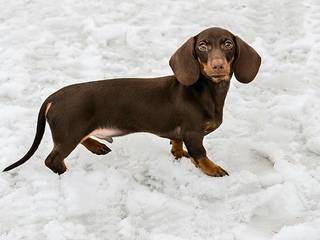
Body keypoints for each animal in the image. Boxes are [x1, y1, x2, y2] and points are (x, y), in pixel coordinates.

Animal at [3, 27, 262, 176]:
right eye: (202, 46)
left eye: (227, 43)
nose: (218, 66)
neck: (206, 91)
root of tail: (53, 97)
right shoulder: (193, 134)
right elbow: (201, 154)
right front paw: (212, 169)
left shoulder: (180, 133)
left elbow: (176, 144)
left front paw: (179, 154)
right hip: (68, 134)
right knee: (53, 159)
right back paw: (66, 172)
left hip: (75, 131)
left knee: (80, 140)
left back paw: (96, 146)